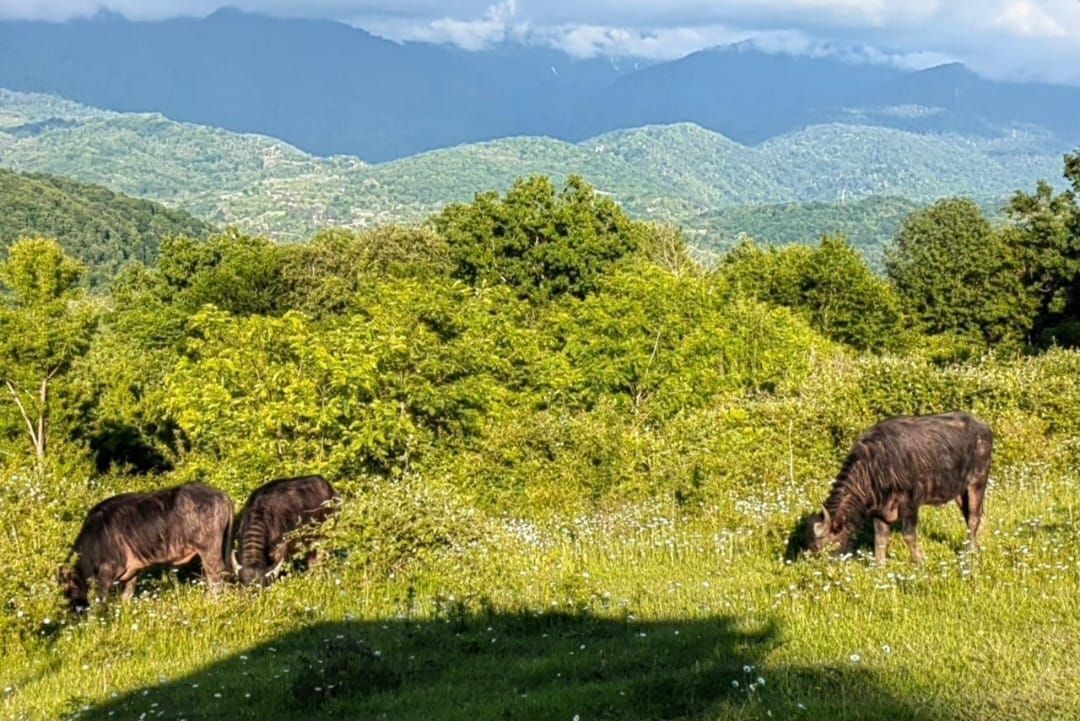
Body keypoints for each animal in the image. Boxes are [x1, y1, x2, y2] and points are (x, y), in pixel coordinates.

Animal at [59, 481, 234, 613]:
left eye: (68, 589)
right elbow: (126, 597)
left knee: (215, 579)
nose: (70, 611)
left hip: (209, 552)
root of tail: (222, 496)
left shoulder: (107, 571)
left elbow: (99, 600)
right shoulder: (132, 572)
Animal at [803, 414, 993, 565]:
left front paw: (919, 561)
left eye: (819, 546)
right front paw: (879, 568)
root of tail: (983, 427)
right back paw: (976, 547)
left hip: (977, 482)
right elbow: (880, 541)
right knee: (974, 516)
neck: (874, 468)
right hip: (960, 492)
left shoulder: (910, 503)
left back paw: (969, 552)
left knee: (974, 518)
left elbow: (909, 535)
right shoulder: (880, 511)